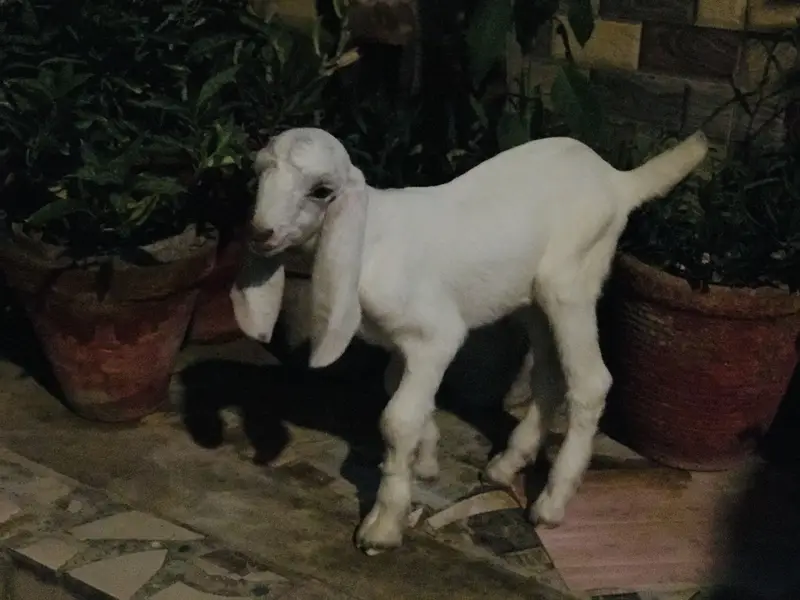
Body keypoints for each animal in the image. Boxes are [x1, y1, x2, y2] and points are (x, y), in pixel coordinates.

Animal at [230, 127, 709, 555]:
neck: (372, 240)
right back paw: (506, 466)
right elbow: (397, 391)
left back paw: (550, 504)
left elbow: (397, 418)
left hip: (570, 282)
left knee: (591, 382)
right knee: (549, 375)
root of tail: (618, 180)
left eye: (322, 190)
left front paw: (383, 526)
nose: (260, 234)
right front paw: (425, 461)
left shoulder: (436, 336)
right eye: (258, 171)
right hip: (531, 298)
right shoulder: (403, 345)